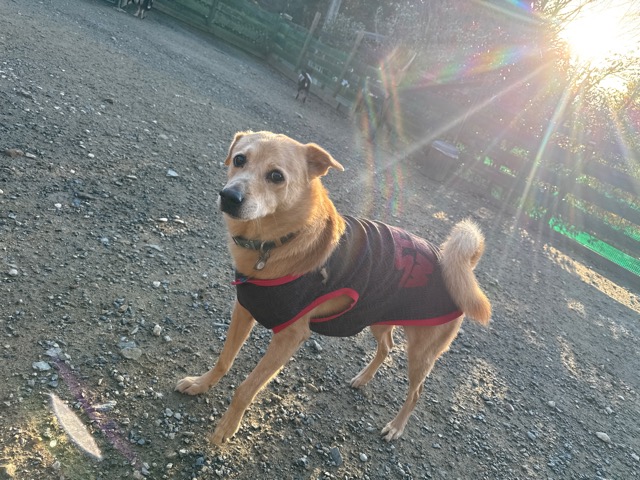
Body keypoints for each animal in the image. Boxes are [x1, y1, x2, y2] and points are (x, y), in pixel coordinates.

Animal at [176, 131, 491, 444]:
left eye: (277, 176)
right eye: (239, 159)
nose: (229, 196)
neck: (277, 243)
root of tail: (452, 263)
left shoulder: (289, 337)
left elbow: (246, 388)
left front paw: (227, 428)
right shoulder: (244, 310)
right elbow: (224, 360)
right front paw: (201, 384)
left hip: (420, 353)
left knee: (416, 392)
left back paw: (396, 426)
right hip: (375, 316)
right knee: (387, 347)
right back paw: (363, 379)